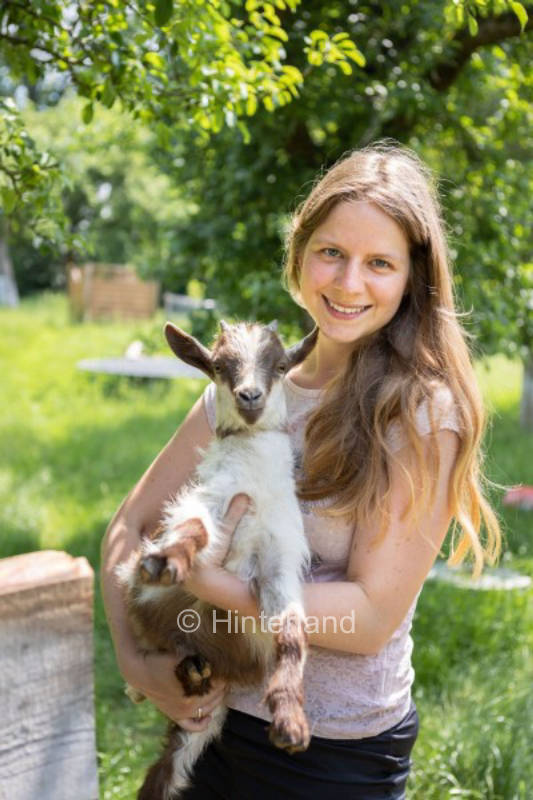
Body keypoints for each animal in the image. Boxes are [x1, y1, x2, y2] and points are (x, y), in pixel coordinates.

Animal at [117, 320, 318, 800]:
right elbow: (194, 528)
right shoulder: (212, 499)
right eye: (220, 366)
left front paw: (290, 724)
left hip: (210, 709)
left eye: (280, 366)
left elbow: (291, 635)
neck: (255, 487)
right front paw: (166, 560)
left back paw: (195, 673)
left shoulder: (281, 556)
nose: (250, 396)